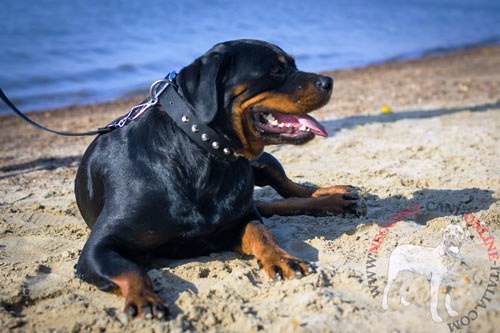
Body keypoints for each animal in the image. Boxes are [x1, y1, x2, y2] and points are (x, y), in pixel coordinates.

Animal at [73, 39, 364, 320]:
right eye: (276, 70)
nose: (329, 81)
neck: (204, 153)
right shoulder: (97, 249)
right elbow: (130, 268)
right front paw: (144, 297)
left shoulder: (240, 220)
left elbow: (262, 231)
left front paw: (281, 257)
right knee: (271, 204)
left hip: (261, 164)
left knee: (289, 190)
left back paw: (335, 197)